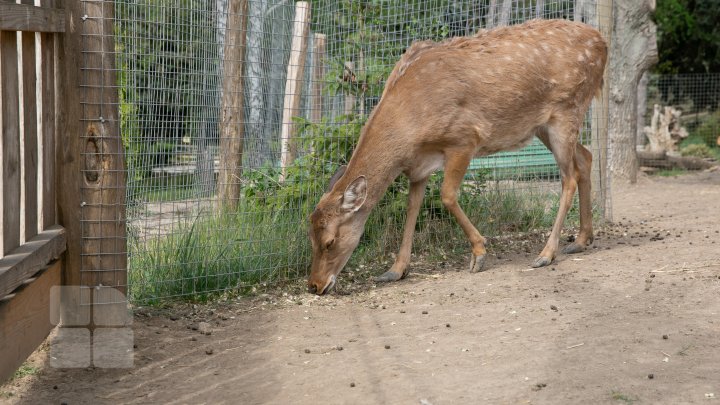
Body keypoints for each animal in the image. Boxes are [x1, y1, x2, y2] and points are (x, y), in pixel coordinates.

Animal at [306, 19, 604, 296]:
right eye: (309, 235)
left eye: (330, 241)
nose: (314, 285)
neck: (411, 131)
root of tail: (603, 42)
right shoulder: (419, 166)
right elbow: (412, 208)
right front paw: (395, 270)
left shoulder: (464, 139)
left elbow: (447, 196)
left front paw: (479, 253)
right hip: (542, 126)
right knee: (586, 157)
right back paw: (581, 240)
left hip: (567, 109)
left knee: (569, 178)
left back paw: (546, 253)